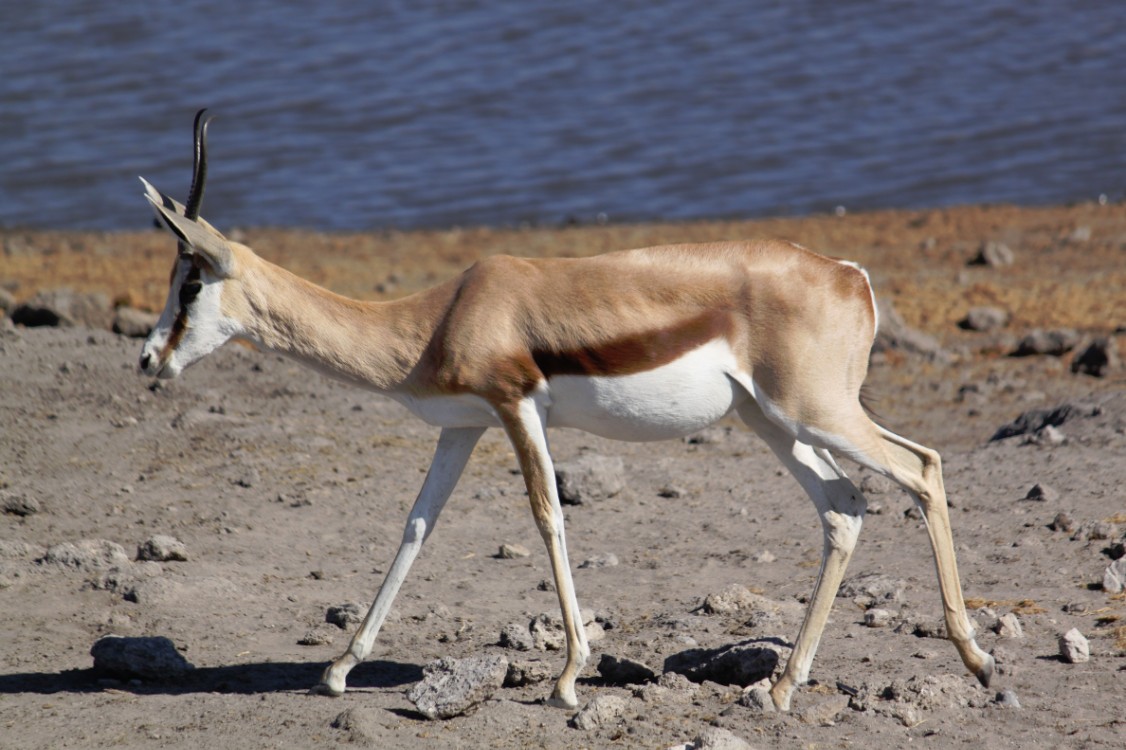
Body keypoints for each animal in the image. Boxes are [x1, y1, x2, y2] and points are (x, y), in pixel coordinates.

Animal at [136, 109, 990, 707]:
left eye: (190, 282)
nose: (148, 359)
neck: (443, 315)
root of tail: (849, 273)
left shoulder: (518, 411)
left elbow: (549, 517)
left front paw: (569, 678)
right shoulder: (464, 428)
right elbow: (417, 524)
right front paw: (341, 668)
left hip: (813, 412)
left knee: (921, 467)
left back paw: (977, 661)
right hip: (771, 422)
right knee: (845, 507)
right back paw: (782, 687)